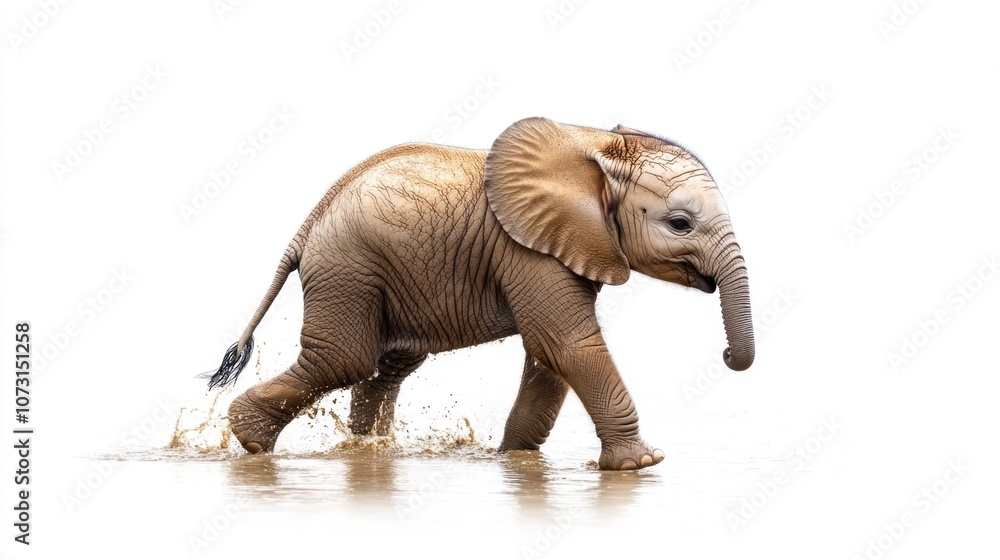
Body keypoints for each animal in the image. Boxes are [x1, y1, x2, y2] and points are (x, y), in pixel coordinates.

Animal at [205, 117, 755, 470]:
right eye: (680, 224)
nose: (728, 355)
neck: (594, 143)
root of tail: (306, 227)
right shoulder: (528, 249)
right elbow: (565, 343)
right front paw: (642, 463)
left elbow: (548, 356)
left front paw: (514, 457)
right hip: (347, 267)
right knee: (345, 359)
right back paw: (250, 440)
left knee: (388, 365)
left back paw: (370, 450)